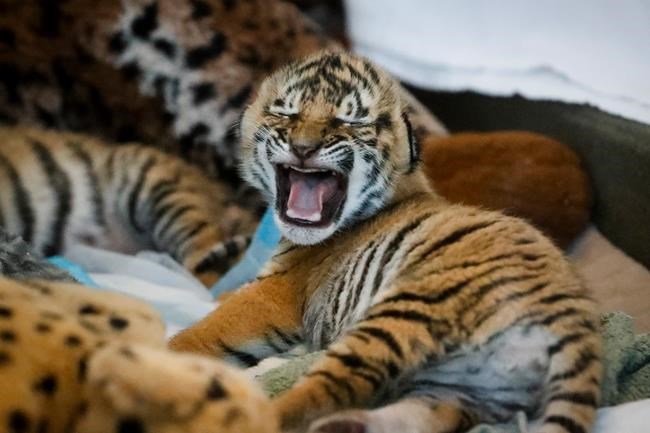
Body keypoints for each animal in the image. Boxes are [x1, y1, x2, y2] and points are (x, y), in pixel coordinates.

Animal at [169, 51, 603, 433]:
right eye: (287, 113)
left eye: (348, 120)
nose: (304, 148)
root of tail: (574, 319)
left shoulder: (275, 291)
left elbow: (205, 330)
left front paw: (167, 350)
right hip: (468, 386)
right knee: (428, 416)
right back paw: (347, 426)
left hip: (404, 314)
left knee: (321, 394)